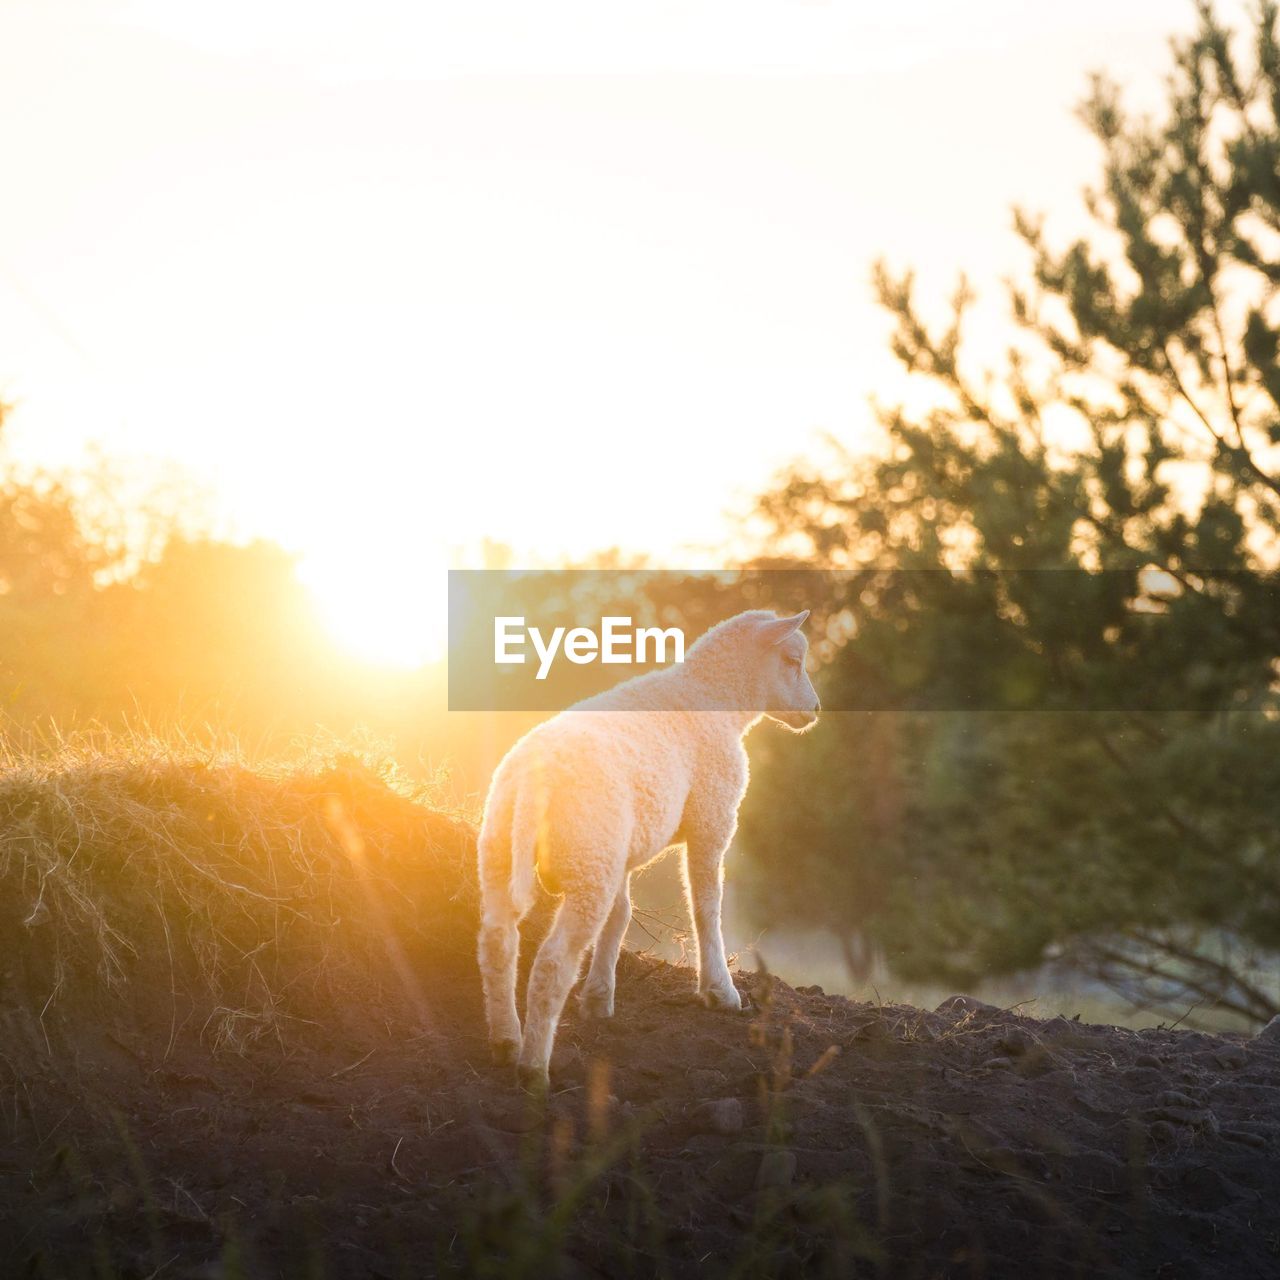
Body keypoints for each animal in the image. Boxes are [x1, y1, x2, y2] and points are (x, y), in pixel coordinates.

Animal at [478, 604, 819, 1085]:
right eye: (793, 660)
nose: (815, 709)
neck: (713, 697)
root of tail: (531, 782)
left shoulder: (622, 850)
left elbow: (621, 916)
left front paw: (599, 998)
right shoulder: (712, 817)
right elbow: (706, 906)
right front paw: (719, 990)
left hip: (508, 853)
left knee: (497, 942)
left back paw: (505, 1041)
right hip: (589, 857)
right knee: (551, 964)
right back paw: (533, 1068)